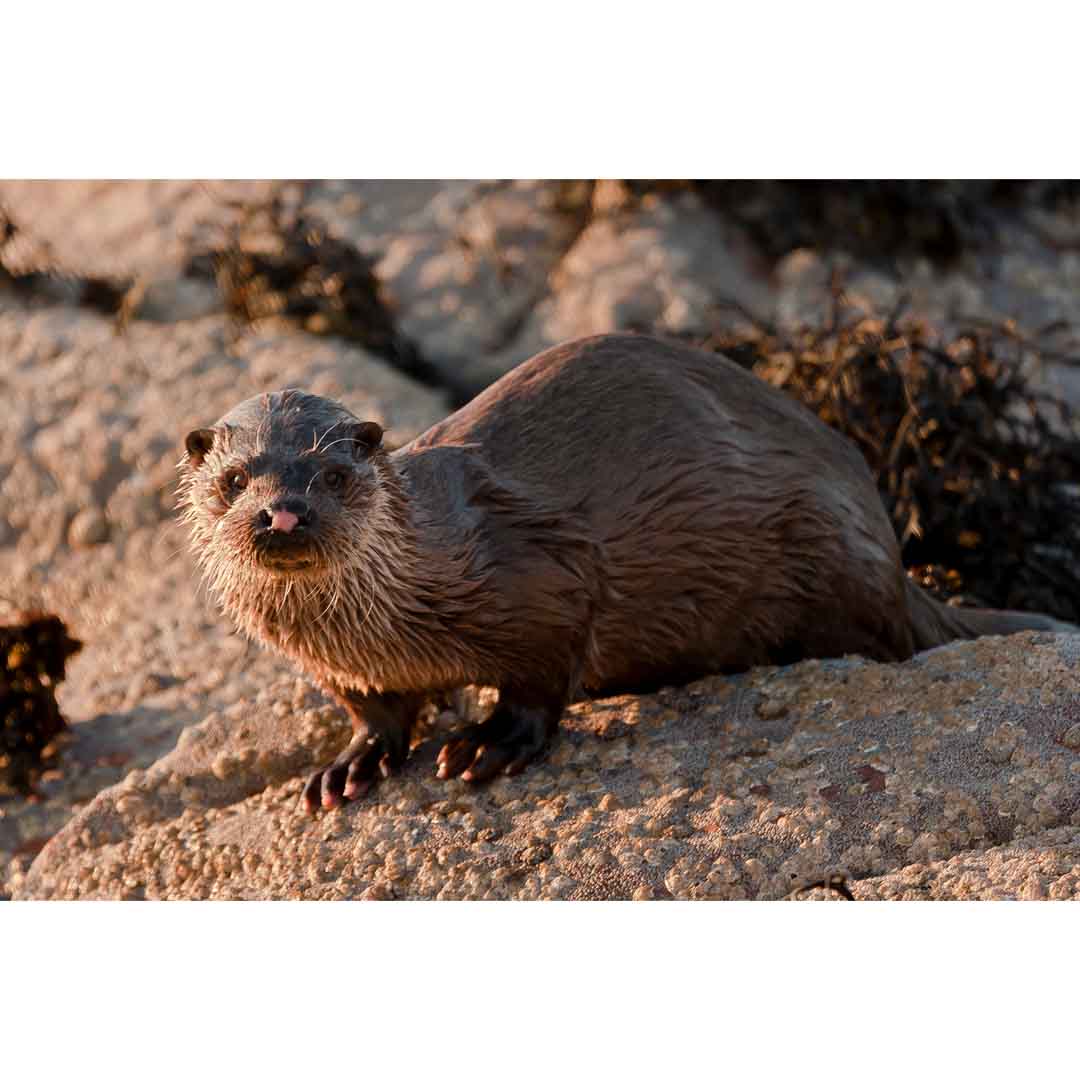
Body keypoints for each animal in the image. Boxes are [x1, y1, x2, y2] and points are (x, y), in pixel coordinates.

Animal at [179, 333, 1071, 812]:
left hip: (832, 545)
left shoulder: (542, 573)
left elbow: (541, 677)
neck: (381, 628)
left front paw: (487, 743)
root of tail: (890, 541)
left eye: (333, 475)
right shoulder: (343, 669)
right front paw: (352, 763)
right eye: (236, 479)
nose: (283, 514)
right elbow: (377, 713)